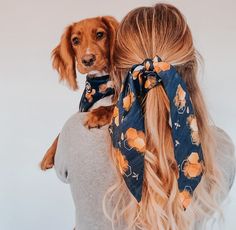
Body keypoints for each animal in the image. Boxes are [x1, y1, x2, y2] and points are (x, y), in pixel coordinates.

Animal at [40, 16, 119, 170]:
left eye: (100, 34)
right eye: (75, 41)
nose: (88, 60)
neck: (100, 84)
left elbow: (112, 106)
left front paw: (97, 116)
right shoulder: (82, 108)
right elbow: (60, 132)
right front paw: (48, 154)